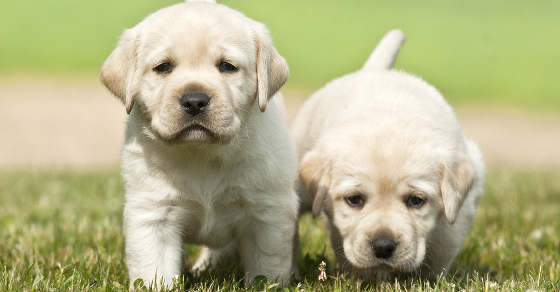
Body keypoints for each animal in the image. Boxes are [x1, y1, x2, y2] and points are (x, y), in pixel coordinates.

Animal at [101, 0, 302, 288]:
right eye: (163, 67)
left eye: (227, 66)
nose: (195, 100)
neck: (202, 153)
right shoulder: (153, 213)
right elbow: (154, 271)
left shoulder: (267, 212)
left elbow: (267, 267)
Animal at [294, 29, 486, 278]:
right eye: (354, 199)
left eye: (416, 200)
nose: (383, 246)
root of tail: (374, 70)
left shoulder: (459, 210)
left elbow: (444, 244)